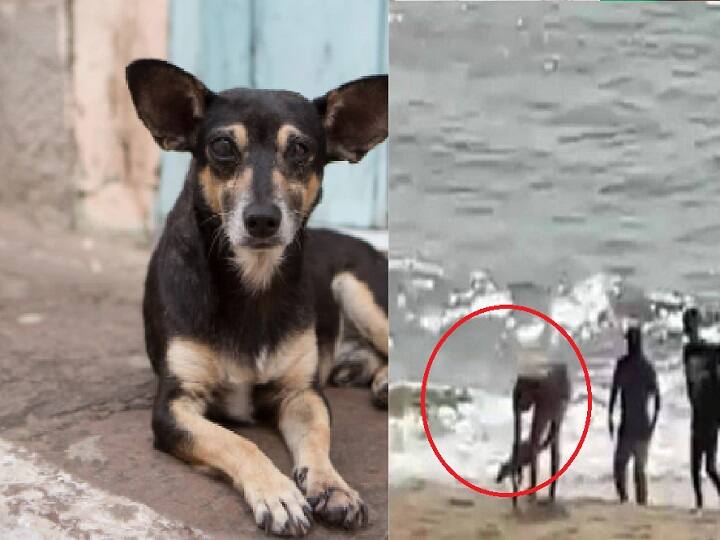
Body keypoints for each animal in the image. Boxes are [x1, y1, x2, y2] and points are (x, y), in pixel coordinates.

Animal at [128, 60, 388, 536]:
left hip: (358, 289)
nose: (263, 219)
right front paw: (279, 494)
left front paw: (333, 486)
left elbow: (319, 440)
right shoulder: (174, 406)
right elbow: (237, 442)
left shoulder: (301, 394)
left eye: (301, 149)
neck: (252, 282)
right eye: (222, 146)